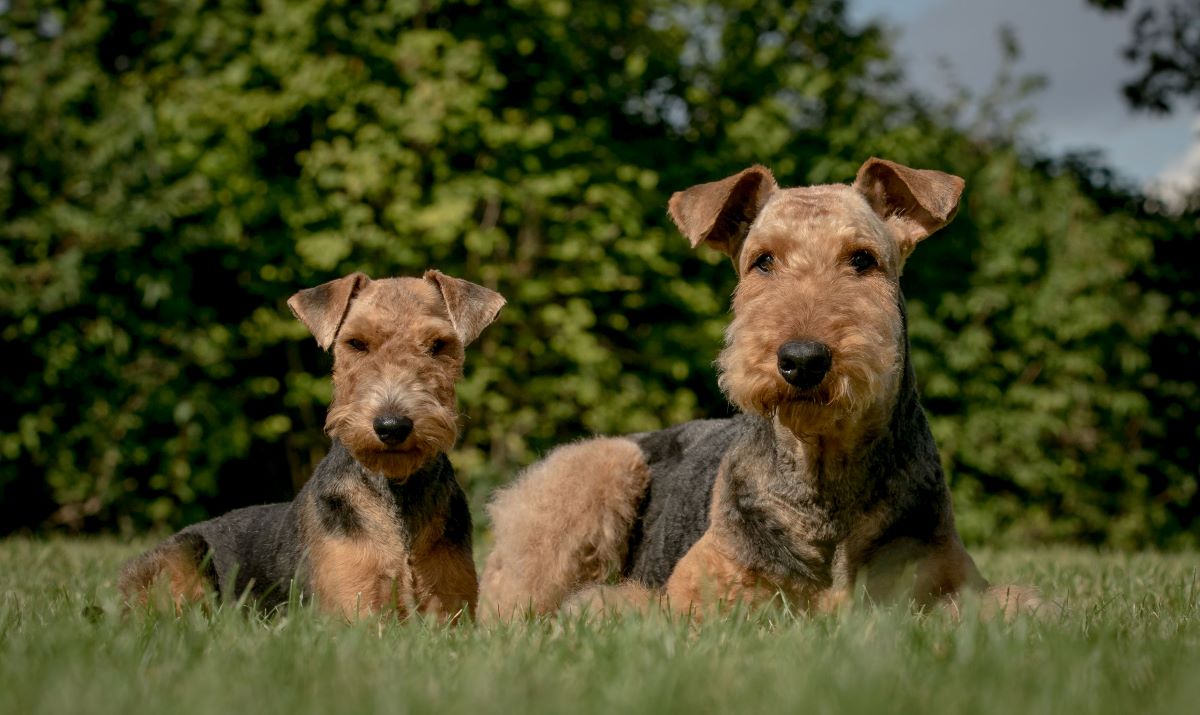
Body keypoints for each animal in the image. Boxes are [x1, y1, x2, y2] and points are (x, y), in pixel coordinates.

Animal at [125, 269, 506, 619]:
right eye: (356, 343)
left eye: (438, 344)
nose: (391, 426)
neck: (396, 492)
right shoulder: (351, 609)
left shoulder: (450, 611)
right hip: (183, 565)